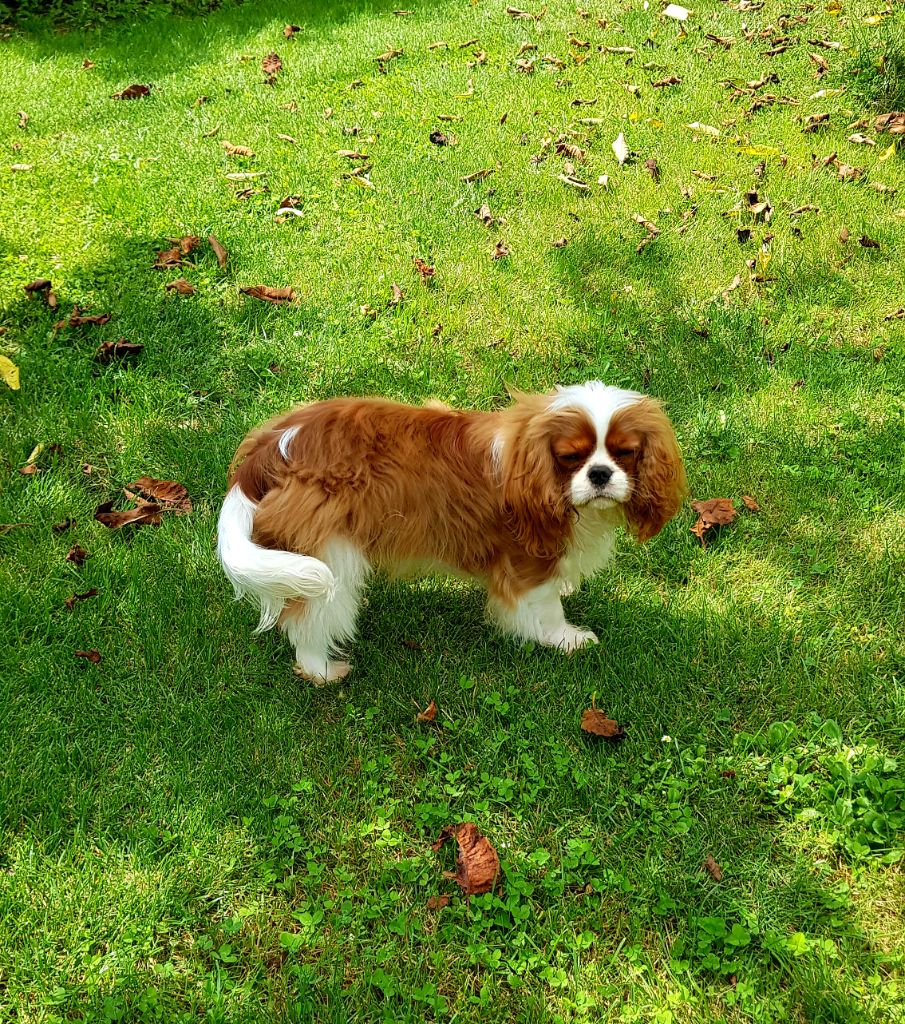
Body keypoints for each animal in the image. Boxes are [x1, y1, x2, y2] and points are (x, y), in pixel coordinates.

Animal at [217, 382, 683, 679]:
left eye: (625, 453)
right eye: (571, 457)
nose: (601, 474)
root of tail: (270, 449)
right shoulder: (527, 562)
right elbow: (547, 608)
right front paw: (566, 639)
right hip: (332, 559)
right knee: (304, 619)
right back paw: (322, 669)